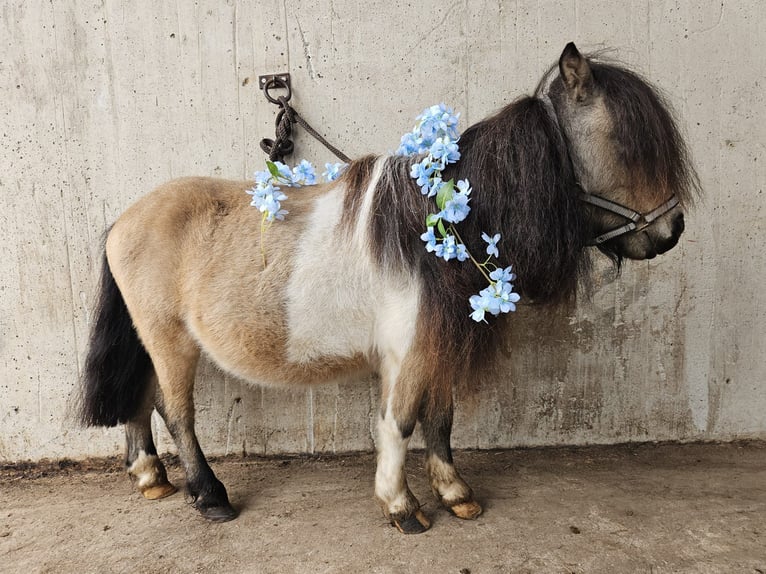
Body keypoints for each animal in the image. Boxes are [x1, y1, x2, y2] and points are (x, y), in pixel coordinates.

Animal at [79, 45, 704, 536]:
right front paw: (402, 506)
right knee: (175, 410)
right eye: (625, 141)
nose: (672, 231)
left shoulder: (435, 345)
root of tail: (123, 220)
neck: (441, 228)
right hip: (171, 339)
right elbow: (400, 421)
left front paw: (455, 493)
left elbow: (439, 419)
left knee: (140, 399)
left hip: (152, 339)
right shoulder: (407, 352)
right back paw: (209, 496)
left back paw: (151, 477)